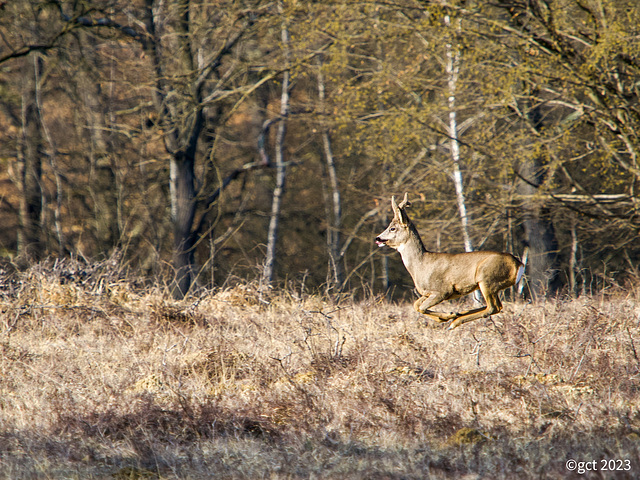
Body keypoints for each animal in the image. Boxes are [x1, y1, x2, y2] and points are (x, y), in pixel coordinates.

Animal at [378, 192, 524, 330]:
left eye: (392, 228)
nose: (378, 238)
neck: (420, 264)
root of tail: (519, 264)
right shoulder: (427, 292)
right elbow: (416, 305)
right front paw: (448, 315)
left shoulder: (442, 290)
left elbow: (422, 307)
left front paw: (448, 316)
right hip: (491, 285)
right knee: (496, 306)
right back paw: (459, 314)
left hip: (487, 279)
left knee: (493, 307)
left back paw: (454, 322)